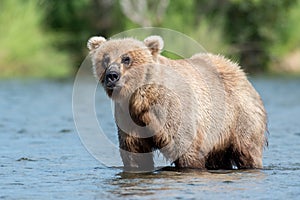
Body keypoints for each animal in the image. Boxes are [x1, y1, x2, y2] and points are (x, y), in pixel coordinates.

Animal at [86, 35, 268, 171]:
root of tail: (238, 69)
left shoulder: (173, 111)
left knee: (247, 149)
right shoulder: (129, 116)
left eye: (126, 58)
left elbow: (185, 148)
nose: (112, 75)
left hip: (238, 116)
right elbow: (134, 152)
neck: (141, 98)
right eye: (105, 59)